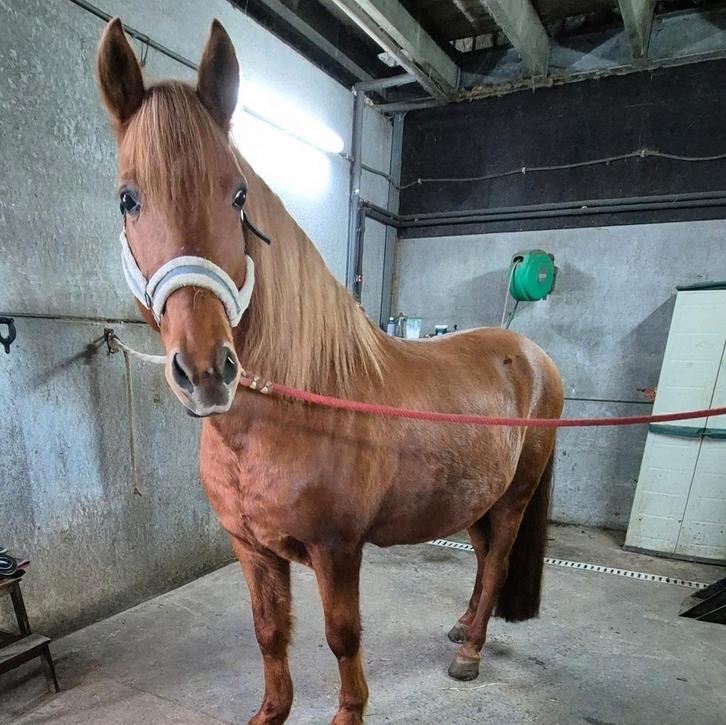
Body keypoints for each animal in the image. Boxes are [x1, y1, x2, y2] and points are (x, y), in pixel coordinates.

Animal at [95, 18, 564, 725]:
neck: (292, 409)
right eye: (128, 198)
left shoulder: (337, 549)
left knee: (499, 564)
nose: (207, 370)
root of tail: (533, 356)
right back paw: (461, 627)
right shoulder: (251, 548)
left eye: (237, 195)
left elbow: (342, 637)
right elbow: (269, 632)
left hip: (512, 501)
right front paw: (271, 711)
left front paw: (349, 712)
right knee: (485, 561)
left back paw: (470, 652)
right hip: (477, 498)